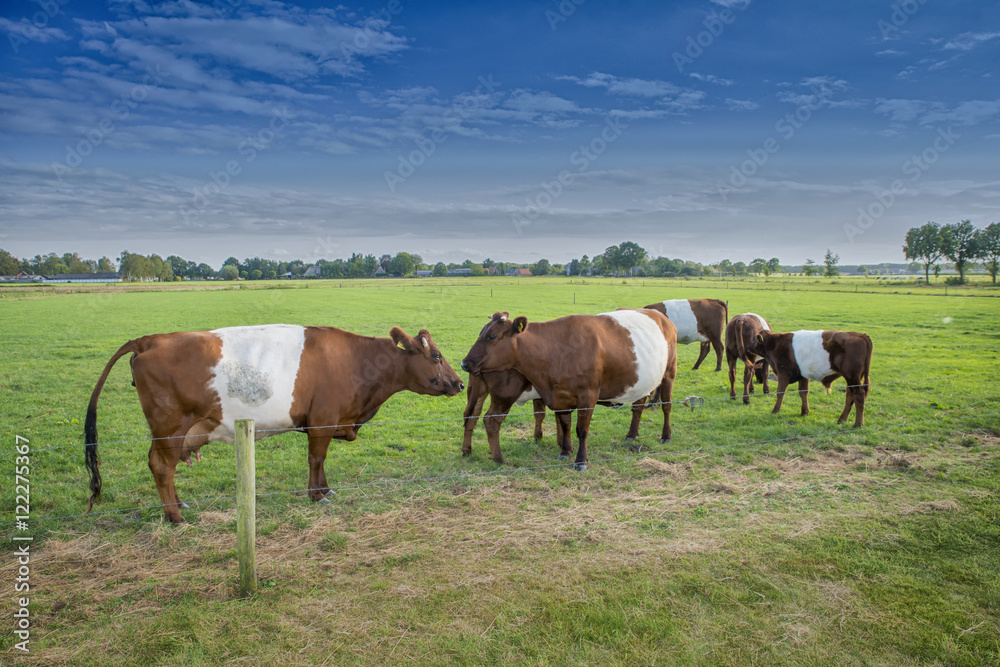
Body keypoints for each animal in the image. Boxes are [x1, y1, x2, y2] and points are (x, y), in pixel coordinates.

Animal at [83, 326, 464, 524]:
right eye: (435, 356)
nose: (459, 383)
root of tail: (151, 339)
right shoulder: (323, 421)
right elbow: (316, 458)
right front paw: (317, 495)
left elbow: (321, 461)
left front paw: (326, 490)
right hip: (169, 425)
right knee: (162, 466)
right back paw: (175, 516)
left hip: (172, 431)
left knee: (163, 464)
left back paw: (179, 505)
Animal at [460, 310, 680, 472]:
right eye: (481, 335)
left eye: (492, 337)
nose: (464, 363)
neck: (556, 351)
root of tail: (660, 316)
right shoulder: (559, 397)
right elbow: (565, 425)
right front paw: (565, 451)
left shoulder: (588, 396)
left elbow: (581, 430)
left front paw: (580, 461)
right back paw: (631, 435)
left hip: (669, 372)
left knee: (666, 405)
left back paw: (666, 436)